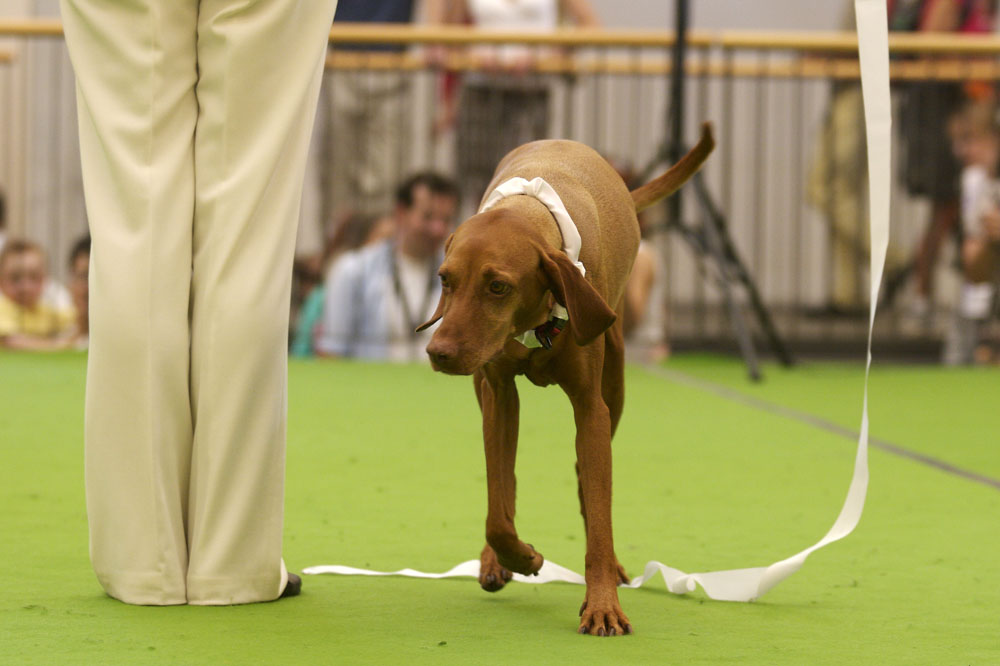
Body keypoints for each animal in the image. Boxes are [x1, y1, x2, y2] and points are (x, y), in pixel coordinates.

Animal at [418, 123, 716, 632]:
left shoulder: (590, 407)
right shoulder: (499, 394)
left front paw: (602, 605)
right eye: (445, 279)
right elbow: (497, 509)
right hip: (487, 390)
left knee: (586, 480)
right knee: (505, 487)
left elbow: (597, 511)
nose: (439, 353)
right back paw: (495, 560)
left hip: (614, 384)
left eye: (498, 286)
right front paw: (521, 557)